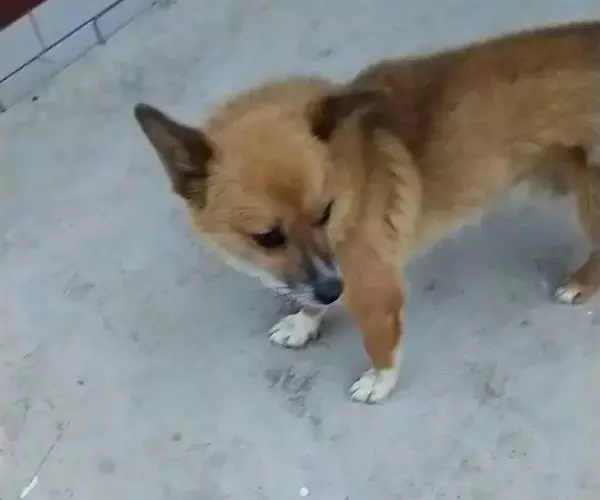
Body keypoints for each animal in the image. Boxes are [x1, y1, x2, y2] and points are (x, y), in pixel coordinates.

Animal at [134, 21, 600, 403]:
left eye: (325, 212)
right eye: (268, 237)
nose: (331, 291)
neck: (350, 177)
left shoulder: (373, 289)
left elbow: (379, 339)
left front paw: (380, 379)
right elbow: (308, 300)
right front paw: (304, 322)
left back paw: (580, 284)